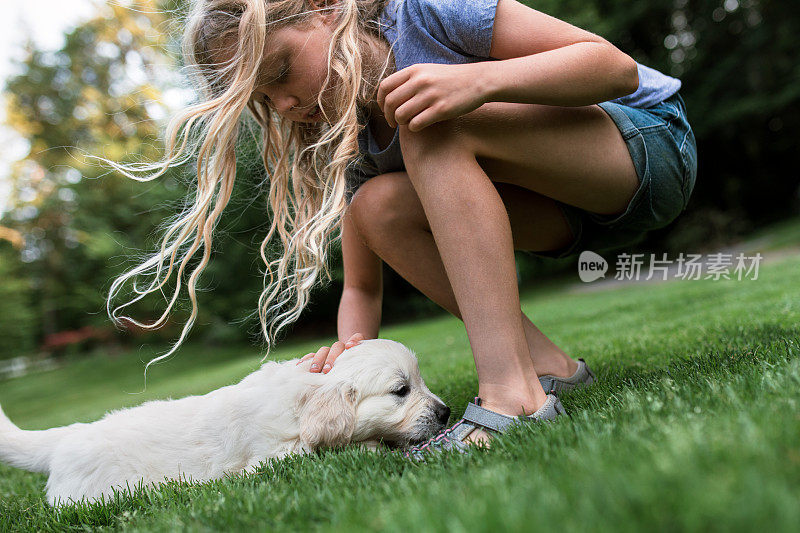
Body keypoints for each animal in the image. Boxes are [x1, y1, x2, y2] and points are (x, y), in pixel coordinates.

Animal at [0, 338, 450, 504]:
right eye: (401, 391)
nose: (446, 412)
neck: (305, 396)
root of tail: (65, 438)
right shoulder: (274, 456)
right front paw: (371, 446)